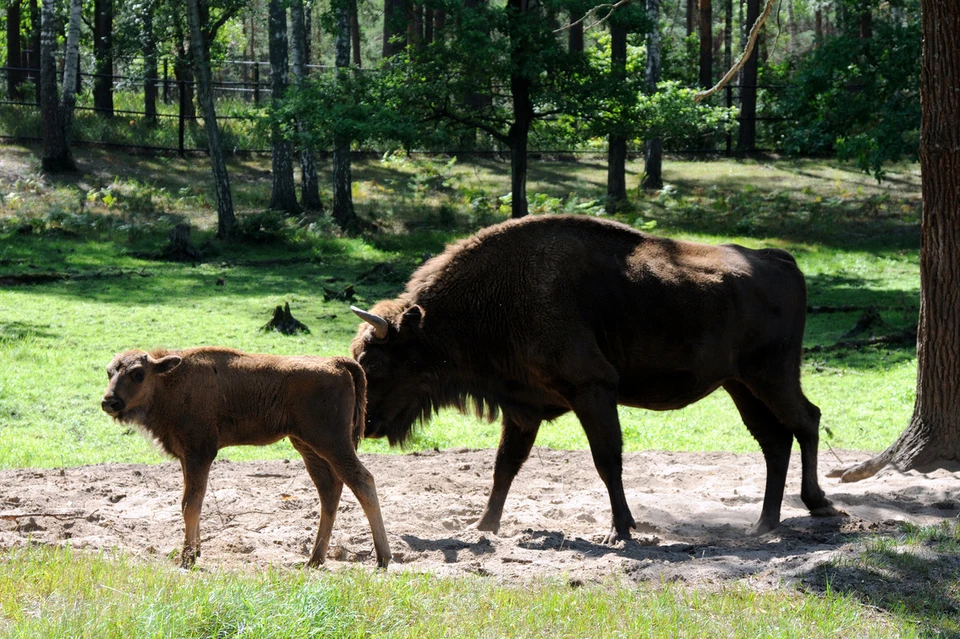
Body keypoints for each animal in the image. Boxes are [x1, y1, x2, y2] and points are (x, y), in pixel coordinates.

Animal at [100, 350, 390, 568]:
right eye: (109, 372)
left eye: (138, 374)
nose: (109, 402)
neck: (170, 379)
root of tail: (335, 362)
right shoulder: (187, 457)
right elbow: (191, 502)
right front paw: (194, 551)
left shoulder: (199, 453)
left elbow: (190, 504)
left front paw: (187, 559)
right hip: (307, 446)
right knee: (330, 489)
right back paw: (314, 560)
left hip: (332, 443)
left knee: (362, 481)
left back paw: (382, 559)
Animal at [352, 214, 840, 540]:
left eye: (374, 364)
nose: (366, 426)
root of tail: (781, 261)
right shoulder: (523, 407)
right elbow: (505, 465)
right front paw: (484, 525)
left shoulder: (592, 391)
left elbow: (607, 460)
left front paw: (620, 530)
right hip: (740, 385)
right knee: (774, 439)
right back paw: (764, 524)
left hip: (772, 375)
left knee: (806, 420)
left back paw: (819, 505)